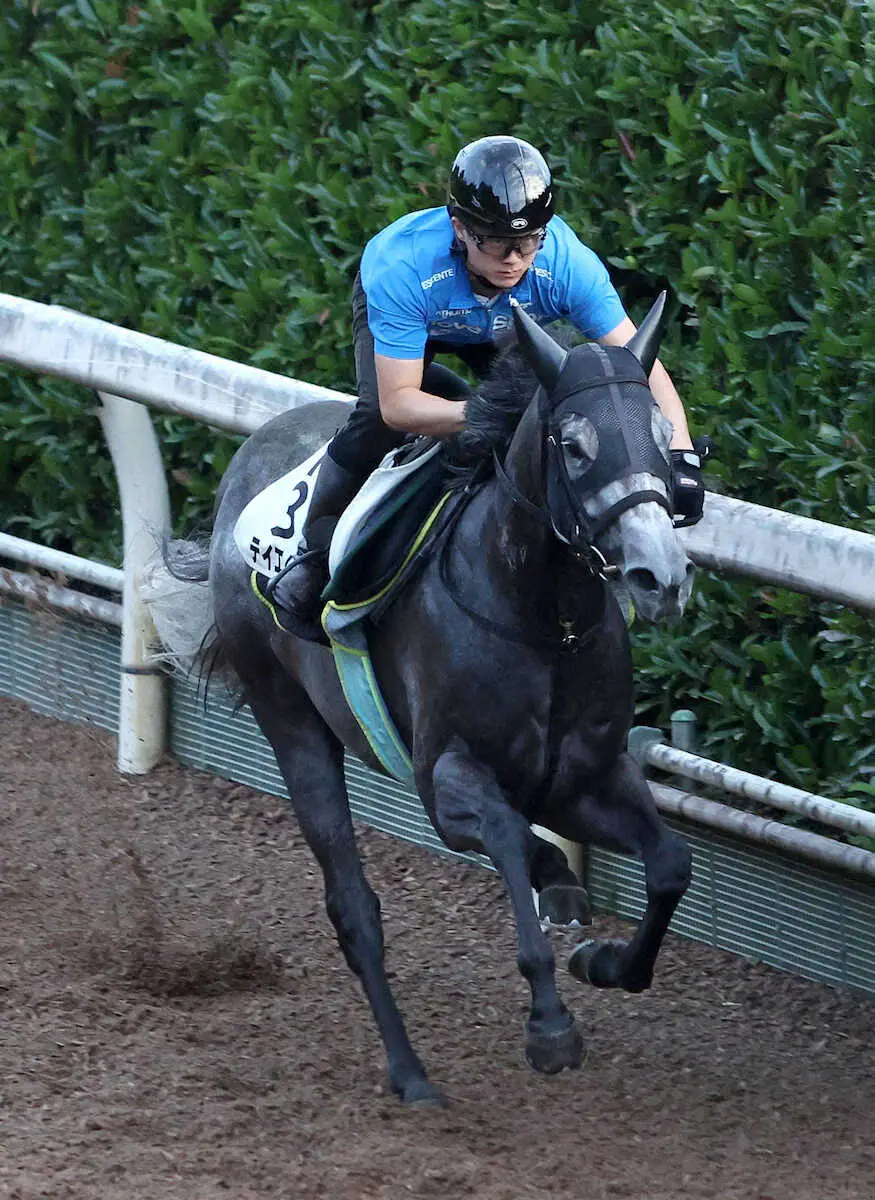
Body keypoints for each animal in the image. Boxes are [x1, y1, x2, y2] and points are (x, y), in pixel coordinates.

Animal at [151, 297, 696, 1104]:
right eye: (573, 446)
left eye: (663, 436)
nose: (659, 576)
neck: (541, 619)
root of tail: (242, 473)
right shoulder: (444, 780)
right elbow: (505, 834)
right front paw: (549, 1024)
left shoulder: (588, 777)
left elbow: (668, 865)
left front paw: (601, 958)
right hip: (290, 720)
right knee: (354, 908)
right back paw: (409, 1073)